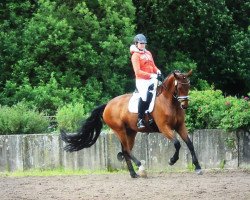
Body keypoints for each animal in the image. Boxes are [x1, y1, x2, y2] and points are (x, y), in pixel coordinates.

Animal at [61, 69, 203, 177]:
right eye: (179, 87)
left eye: (188, 86)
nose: (184, 105)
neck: (168, 102)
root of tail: (108, 105)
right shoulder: (164, 127)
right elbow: (177, 143)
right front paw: (172, 160)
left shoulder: (180, 126)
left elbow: (190, 144)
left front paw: (198, 167)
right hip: (120, 130)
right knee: (127, 150)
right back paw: (140, 167)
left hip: (131, 132)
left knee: (125, 150)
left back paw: (133, 174)